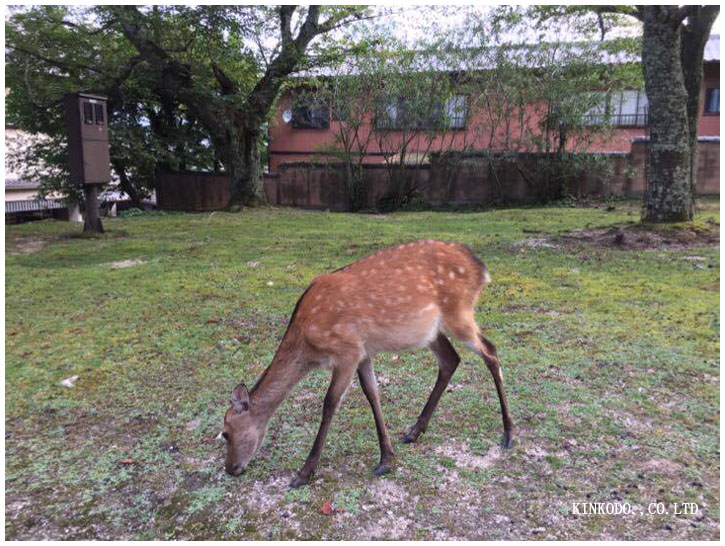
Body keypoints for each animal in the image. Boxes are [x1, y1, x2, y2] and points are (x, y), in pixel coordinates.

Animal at [218, 238, 512, 484]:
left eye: (226, 433)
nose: (230, 469)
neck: (307, 341)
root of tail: (480, 268)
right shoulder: (363, 352)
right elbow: (372, 394)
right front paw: (386, 459)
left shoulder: (346, 351)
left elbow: (329, 404)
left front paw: (304, 472)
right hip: (429, 330)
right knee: (451, 359)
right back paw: (414, 431)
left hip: (458, 312)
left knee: (490, 351)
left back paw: (508, 434)